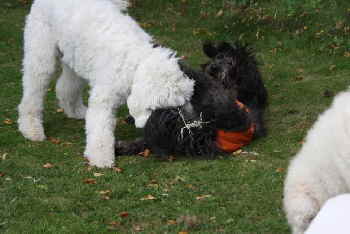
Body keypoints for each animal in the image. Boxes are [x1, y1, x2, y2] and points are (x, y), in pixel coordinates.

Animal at [17, 0, 194, 168]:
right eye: (167, 110)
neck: (136, 60)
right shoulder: (103, 99)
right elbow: (100, 129)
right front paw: (101, 158)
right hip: (41, 56)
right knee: (32, 93)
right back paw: (31, 129)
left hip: (75, 59)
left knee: (65, 87)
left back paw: (75, 111)